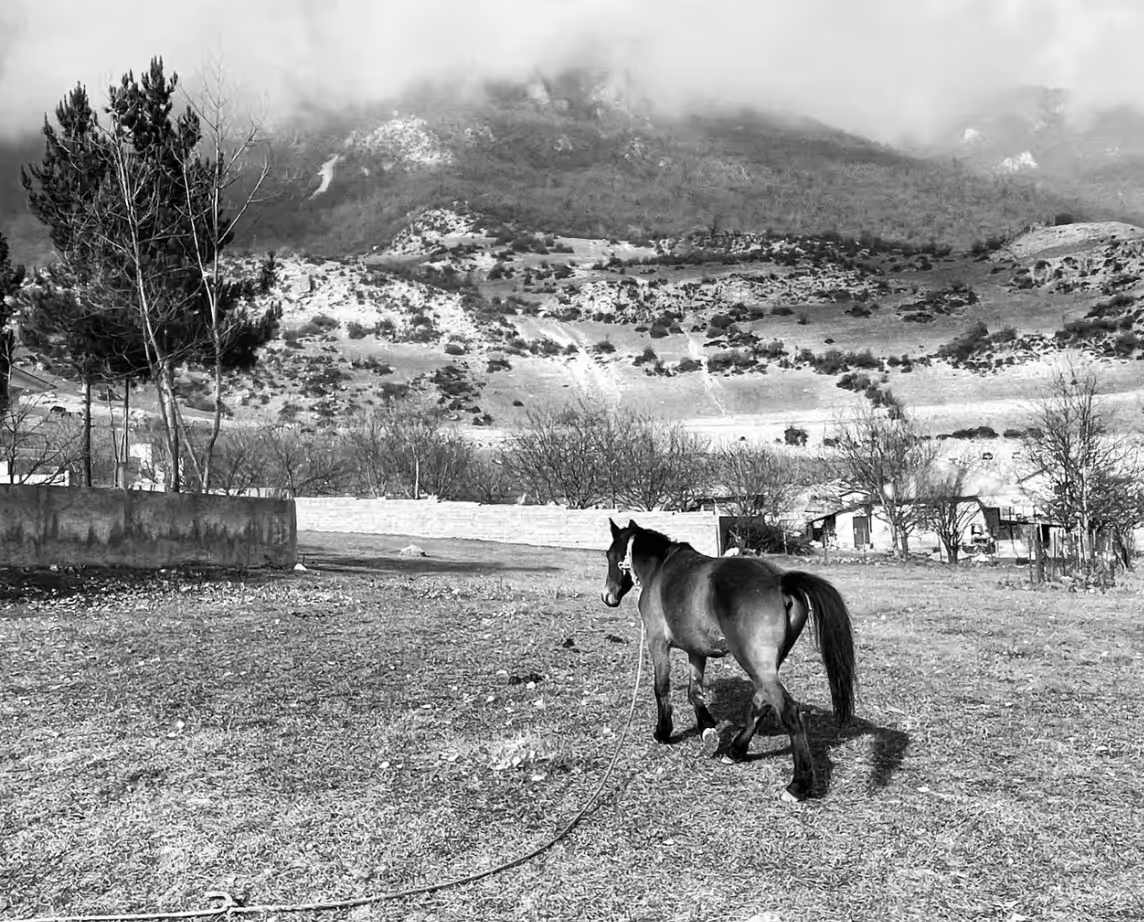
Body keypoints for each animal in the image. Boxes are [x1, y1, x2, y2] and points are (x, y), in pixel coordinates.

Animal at [601, 518, 856, 801]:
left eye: (610, 555)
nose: (608, 596)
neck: (660, 569)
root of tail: (780, 580)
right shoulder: (696, 652)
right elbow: (694, 692)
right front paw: (707, 729)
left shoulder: (657, 643)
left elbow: (662, 688)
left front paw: (663, 731)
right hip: (763, 666)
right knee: (761, 703)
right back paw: (736, 751)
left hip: (754, 664)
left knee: (787, 711)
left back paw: (798, 784)